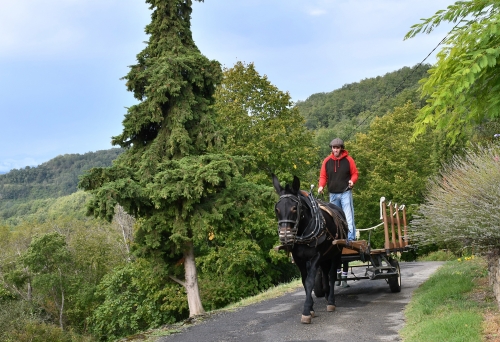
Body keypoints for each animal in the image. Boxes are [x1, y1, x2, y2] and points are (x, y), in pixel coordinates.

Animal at [274, 175, 348, 322]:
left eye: (294, 208)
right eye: (277, 209)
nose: (285, 236)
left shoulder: (315, 257)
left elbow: (309, 282)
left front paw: (307, 310)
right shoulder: (299, 260)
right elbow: (304, 281)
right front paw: (312, 308)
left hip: (336, 253)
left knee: (331, 275)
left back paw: (331, 301)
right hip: (325, 257)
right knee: (325, 273)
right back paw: (326, 294)